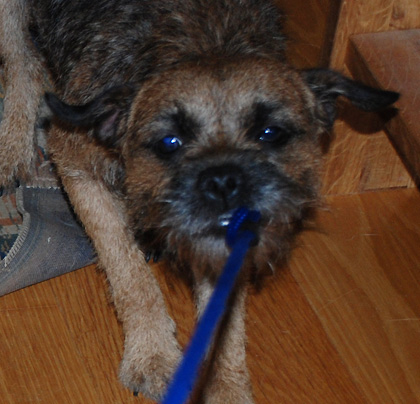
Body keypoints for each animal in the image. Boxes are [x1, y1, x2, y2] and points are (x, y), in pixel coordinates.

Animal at [0, 0, 399, 402]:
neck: (206, 40)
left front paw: (227, 386)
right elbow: (129, 273)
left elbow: (224, 312)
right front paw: (153, 353)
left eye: (270, 133)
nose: (223, 182)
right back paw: (13, 147)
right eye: (169, 142)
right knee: (22, 62)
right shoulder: (76, 164)